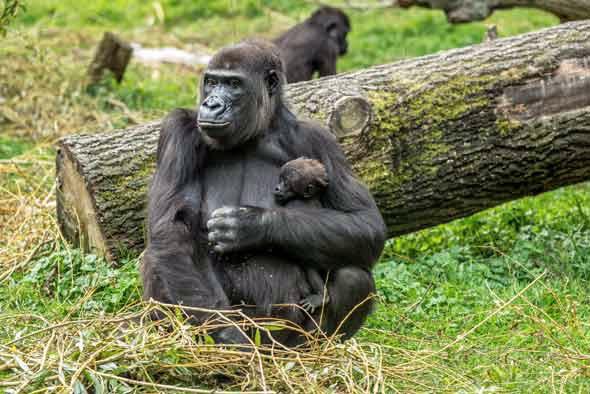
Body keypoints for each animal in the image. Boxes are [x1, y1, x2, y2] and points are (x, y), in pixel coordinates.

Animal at [276, 157, 330, 314]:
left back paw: (322, 297)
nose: (277, 188)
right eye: (280, 179)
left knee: (310, 269)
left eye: (286, 183)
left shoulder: (294, 203)